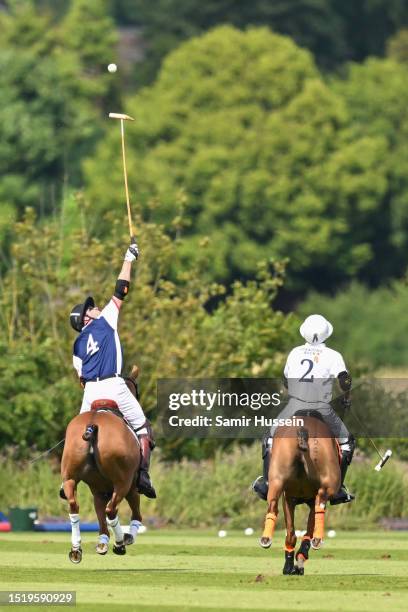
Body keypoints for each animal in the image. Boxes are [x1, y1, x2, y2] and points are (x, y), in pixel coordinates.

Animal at [60, 406, 143, 564]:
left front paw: (102, 542)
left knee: (74, 505)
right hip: (123, 482)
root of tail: (92, 426)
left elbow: (100, 514)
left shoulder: (99, 490)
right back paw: (120, 544)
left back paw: (76, 549)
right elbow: (134, 512)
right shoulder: (130, 483)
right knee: (111, 510)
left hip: (70, 478)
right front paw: (128, 537)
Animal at [262, 414, 342, 576]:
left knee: (272, 506)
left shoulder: (288, 499)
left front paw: (291, 565)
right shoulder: (299, 500)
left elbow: (292, 534)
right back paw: (317, 540)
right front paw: (297, 564)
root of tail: (303, 428)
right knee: (321, 500)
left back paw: (266, 539)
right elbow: (306, 533)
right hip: (329, 482)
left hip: (277, 481)